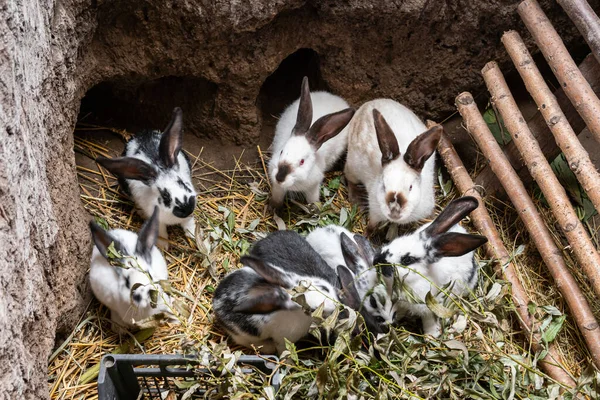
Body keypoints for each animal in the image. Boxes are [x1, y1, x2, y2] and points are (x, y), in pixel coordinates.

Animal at [95, 106, 196, 245]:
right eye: (165, 195)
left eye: (182, 183)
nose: (187, 207)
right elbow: (160, 231)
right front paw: (163, 245)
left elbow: (188, 222)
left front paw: (193, 235)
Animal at [268, 76, 356, 211]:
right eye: (281, 151)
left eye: (302, 161)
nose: (279, 177)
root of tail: (334, 96)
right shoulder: (278, 187)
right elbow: (277, 197)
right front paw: (273, 208)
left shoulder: (313, 187)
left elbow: (313, 200)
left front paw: (316, 209)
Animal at [344, 99, 442, 236]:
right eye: (384, 186)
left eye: (410, 187)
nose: (394, 212)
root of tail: (369, 103)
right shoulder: (375, 211)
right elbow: (371, 226)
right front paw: (365, 235)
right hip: (352, 166)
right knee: (349, 178)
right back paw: (355, 199)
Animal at [376, 195, 488, 336]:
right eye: (394, 241)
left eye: (407, 260)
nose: (376, 260)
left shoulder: (430, 307)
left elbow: (430, 322)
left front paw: (431, 336)